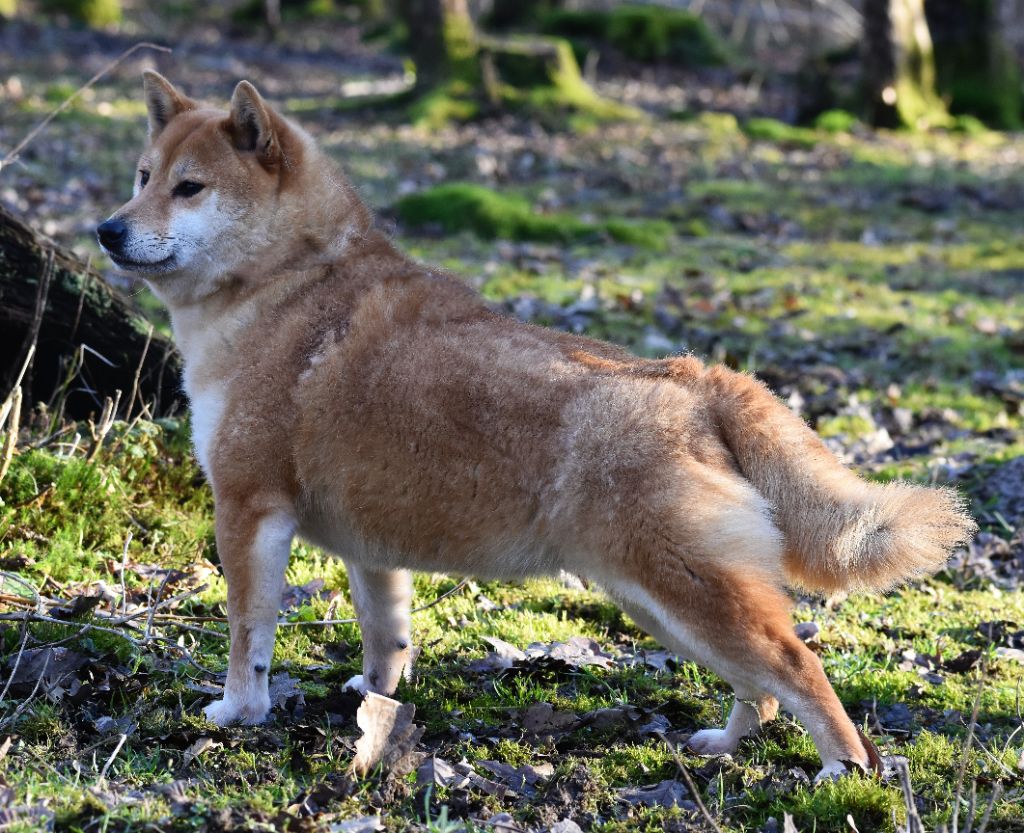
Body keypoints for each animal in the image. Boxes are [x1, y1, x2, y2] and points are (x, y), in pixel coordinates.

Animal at [97, 73, 974, 778]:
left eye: (189, 187)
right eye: (142, 176)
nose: (107, 228)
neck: (288, 282)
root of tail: (695, 377)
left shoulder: (249, 508)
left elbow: (247, 632)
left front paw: (238, 712)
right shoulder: (368, 546)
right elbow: (387, 637)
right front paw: (374, 705)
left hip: (684, 590)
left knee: (797, 665)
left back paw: (843, 770)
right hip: (660, 602)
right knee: (760, 687)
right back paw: (725, 746)